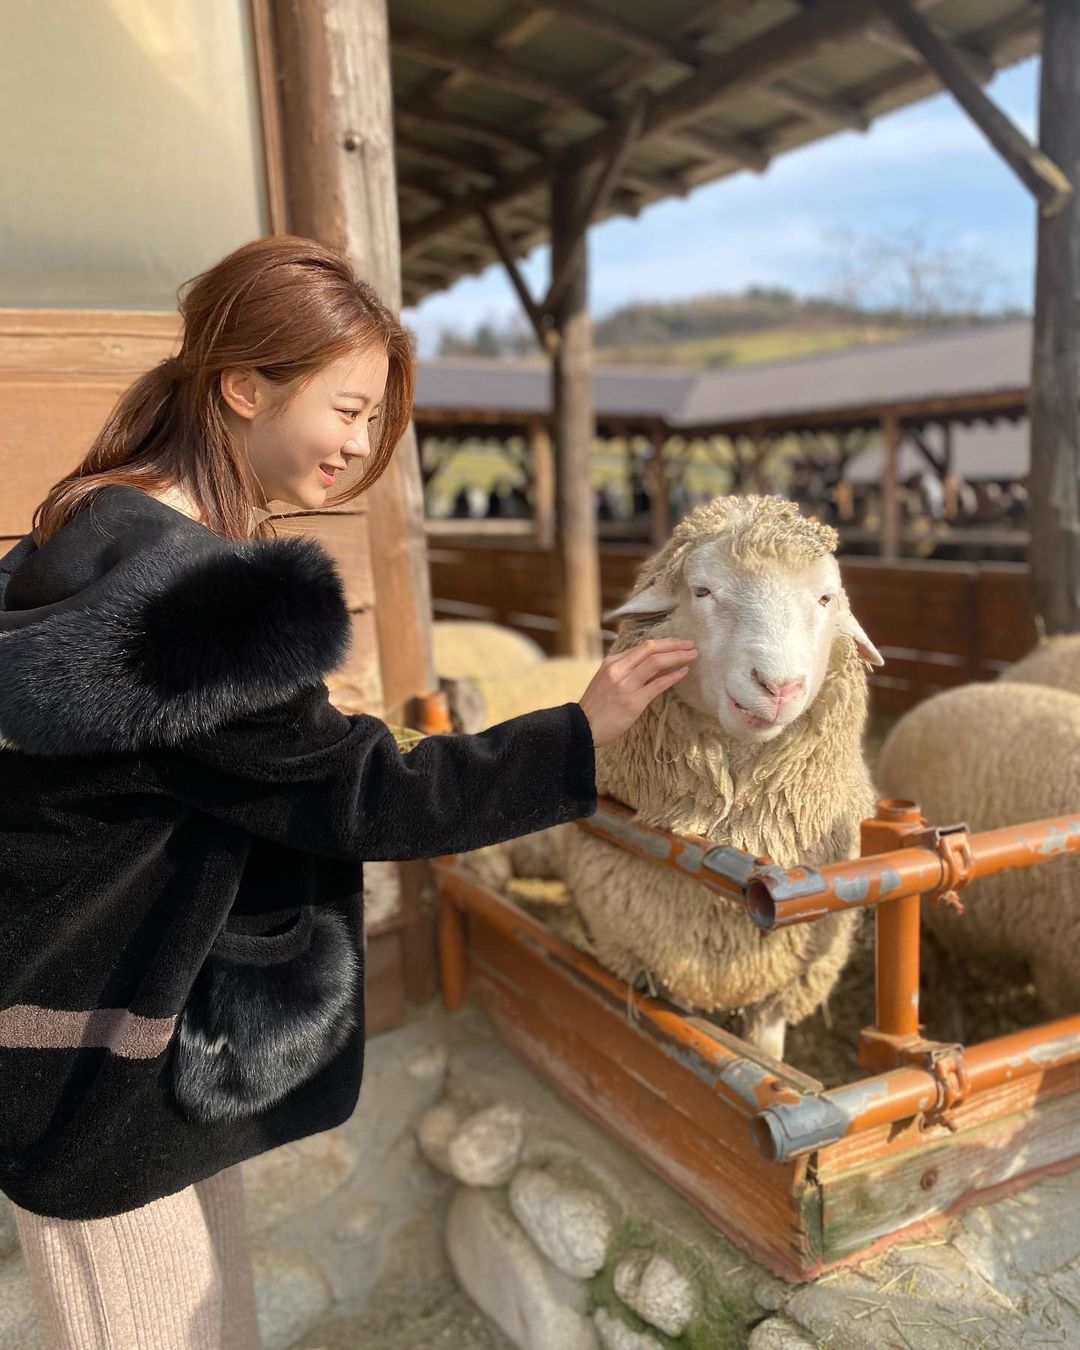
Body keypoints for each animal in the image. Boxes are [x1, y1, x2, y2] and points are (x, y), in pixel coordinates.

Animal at [549, 495, 883, 1062]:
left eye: (824, 598)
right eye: (702, 591)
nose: (778, 685)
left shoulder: (783, 982)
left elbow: (766, 1053)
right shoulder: (643, 957)